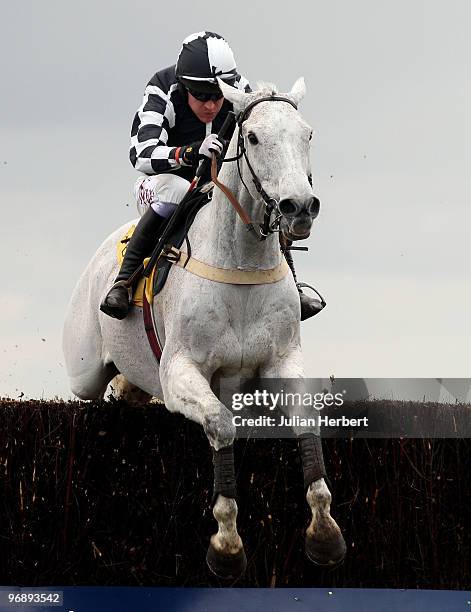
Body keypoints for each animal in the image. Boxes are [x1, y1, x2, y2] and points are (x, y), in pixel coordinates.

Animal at [63, 76, 346, 580]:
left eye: (307, 133)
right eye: (253, 137)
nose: (299, 207)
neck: (241, 264)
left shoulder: (282, 361)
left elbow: (307, 421)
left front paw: (324, 534)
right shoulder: (181, 372)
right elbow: (220, 424)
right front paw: (227, 545)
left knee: (128, 387)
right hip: (83, 369)